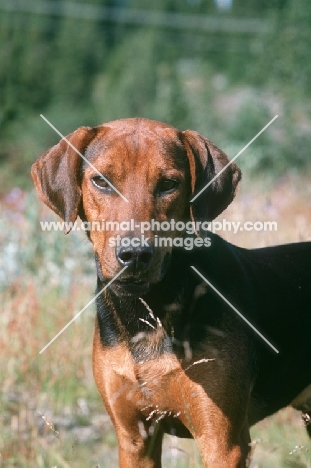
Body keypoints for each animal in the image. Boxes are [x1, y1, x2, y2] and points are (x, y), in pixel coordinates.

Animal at [31, 119, 311, 466]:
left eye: (168, 184)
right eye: (101, 181)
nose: (135, 255)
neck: (147, 312)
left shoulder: (222, 442)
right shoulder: (135, 439)